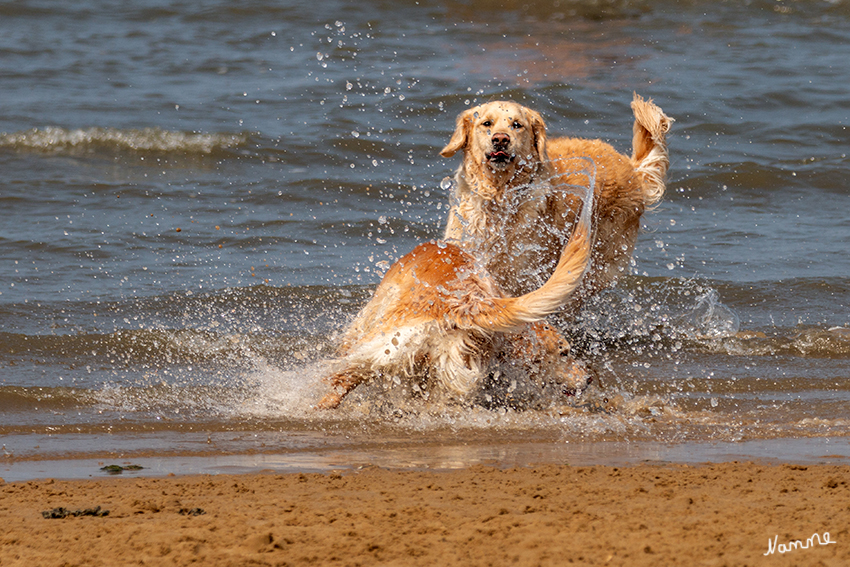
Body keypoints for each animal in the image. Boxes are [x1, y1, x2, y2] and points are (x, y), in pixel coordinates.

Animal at [438, 93, 668, 306]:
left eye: (517, 125)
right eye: (486, 123)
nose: (501, 139)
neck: (500, 196)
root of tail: (632, 169)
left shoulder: (521, 274)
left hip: (593, 268)